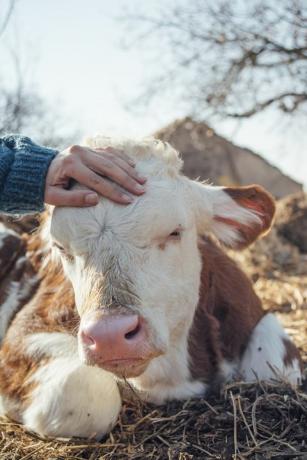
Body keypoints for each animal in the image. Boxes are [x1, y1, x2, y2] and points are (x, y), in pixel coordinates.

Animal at [0, 137, 304, 438]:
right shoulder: (24, 335)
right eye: (61, 248)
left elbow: (275, 368)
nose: (110, 337)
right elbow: (85, 392)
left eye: (175, 232)